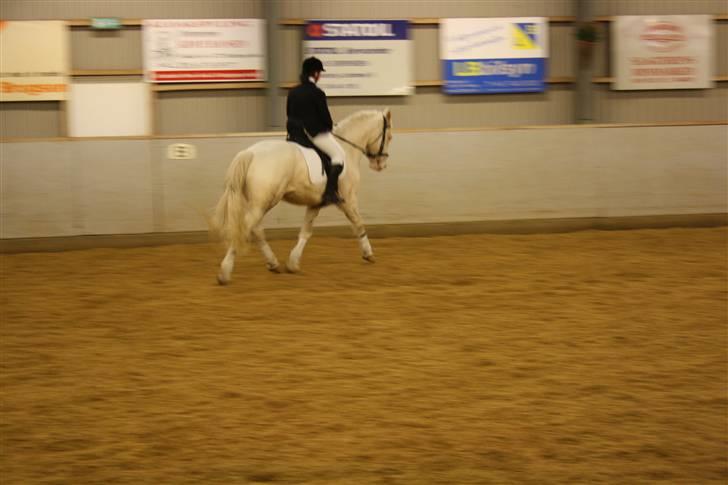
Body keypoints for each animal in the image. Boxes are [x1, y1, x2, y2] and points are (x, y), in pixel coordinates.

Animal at [210, 108, 392, 284]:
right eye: (389, 137)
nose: (381, 165)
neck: (346, 149)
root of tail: (250, 153)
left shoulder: (315, 204)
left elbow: (305, 232)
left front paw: (293, 263)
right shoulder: (348, 200)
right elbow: (359, 223)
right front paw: (368, 254)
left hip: (259, 203)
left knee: (256, 230)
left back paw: (273, 263)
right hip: (264, 202)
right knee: (247, 228)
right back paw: (225, 272)